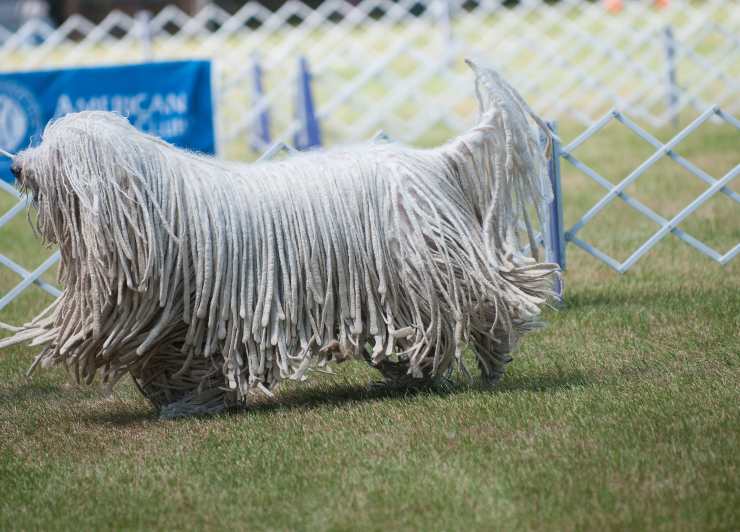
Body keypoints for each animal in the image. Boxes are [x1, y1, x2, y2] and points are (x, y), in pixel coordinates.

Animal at [0, 61, 556, 420]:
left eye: (56, 150)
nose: (18, 166)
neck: (155, 205)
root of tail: (430, 159)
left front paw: (191, 402)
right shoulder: (170, 316)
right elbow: (171, 357)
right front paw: (184, 400)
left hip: (426, 267)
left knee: (483, 302)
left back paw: (487, 358)